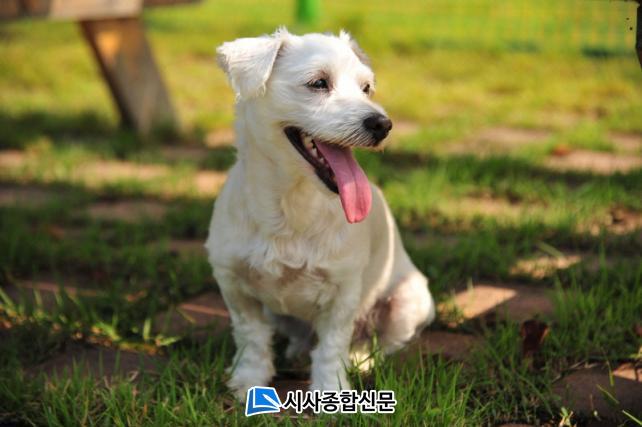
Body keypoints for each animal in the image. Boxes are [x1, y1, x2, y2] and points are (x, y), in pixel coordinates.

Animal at [206, 28, 435, 400]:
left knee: (382, 343)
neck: (291, 205)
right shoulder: (234, 284)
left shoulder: (343, 293)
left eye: (366, 88)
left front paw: (332, 388)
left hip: (406, 302)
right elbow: (251, 337)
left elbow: (331, 347)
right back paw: (297, 351)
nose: (382, 124)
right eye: (318, 83)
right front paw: (249, 380)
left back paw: (361, 358)